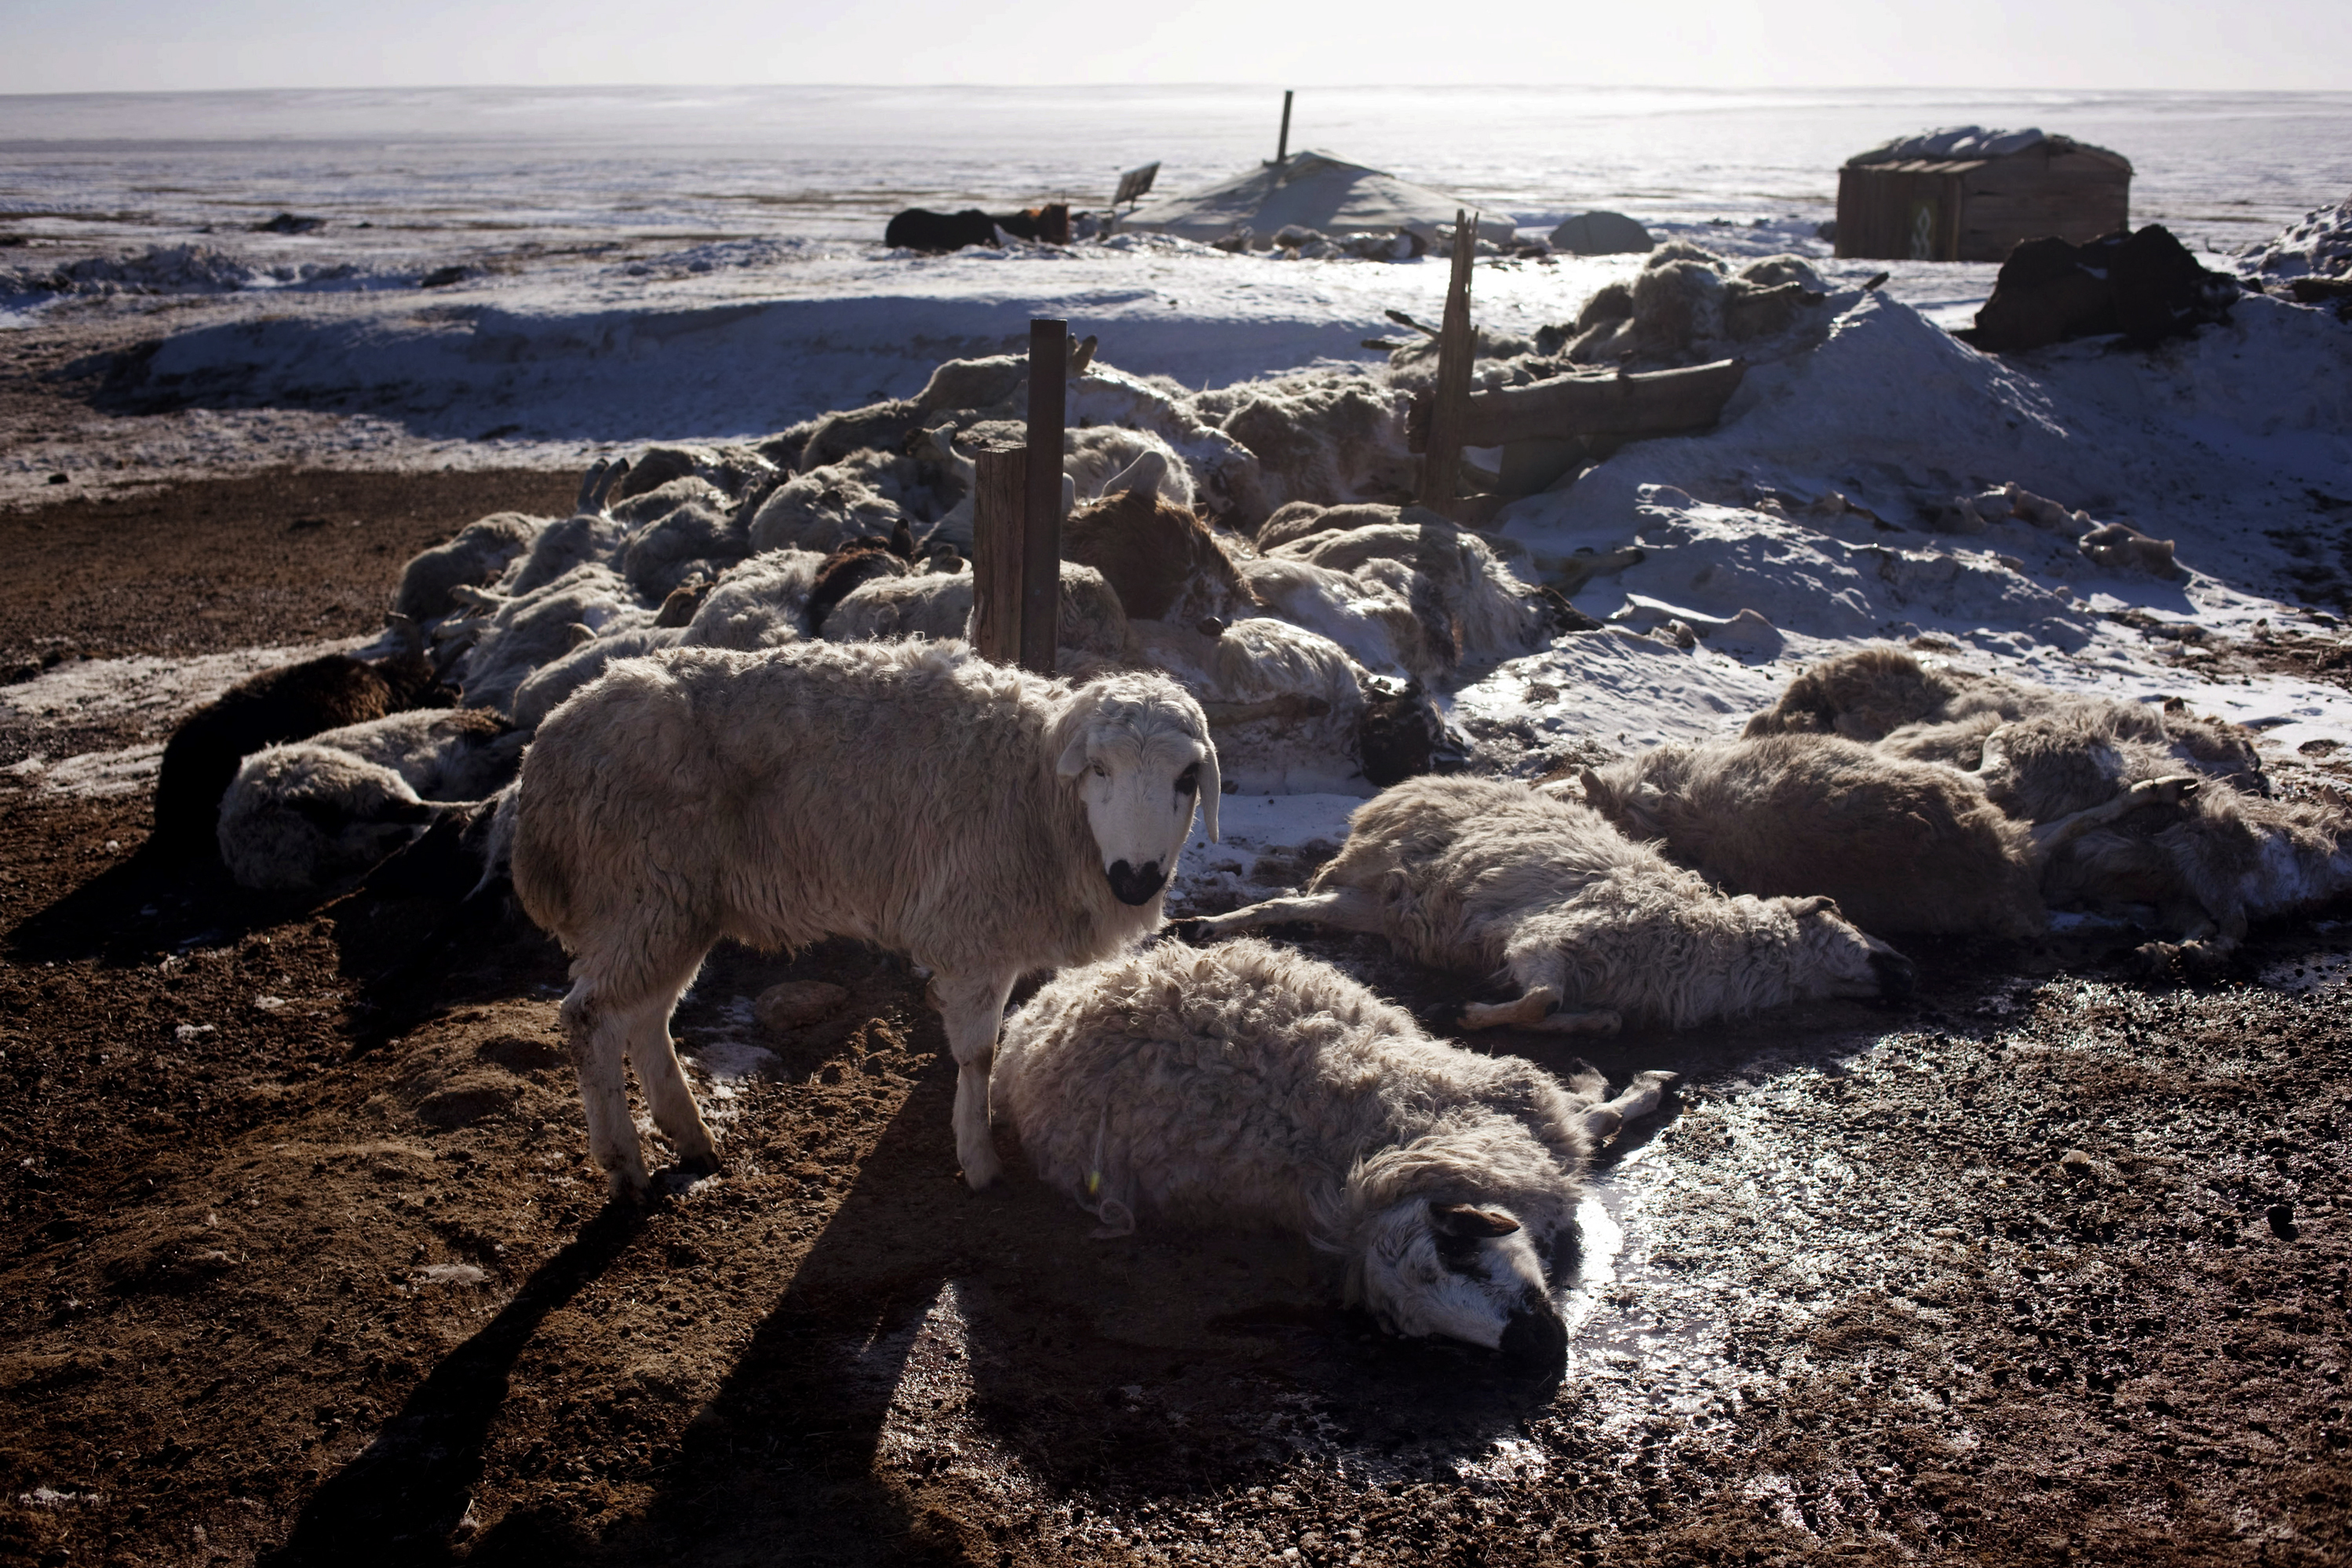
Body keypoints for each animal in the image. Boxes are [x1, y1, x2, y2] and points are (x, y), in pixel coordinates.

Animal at [509, 640, 1220, 1195]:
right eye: (1099, 768)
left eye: (1188, 777)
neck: (1037, 793)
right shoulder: (972, 931)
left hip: (673, 904)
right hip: (641, 890)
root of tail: (548, 744)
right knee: (592, 1018)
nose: (1136, 878)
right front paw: (979, 1159)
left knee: (647, 1018)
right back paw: (622, 1163)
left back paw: (690, 1137)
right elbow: (978, 1055)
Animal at [993, 937, 1675, 1359]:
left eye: (1455, 1251)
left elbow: (1590, 1112)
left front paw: (1625, 1080)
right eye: (1418, 1331)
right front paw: (1632, 1088)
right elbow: (1593, 1119)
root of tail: (1027, 1030)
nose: (1538, 1350)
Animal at [1183, 775, 1913, 1033]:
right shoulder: (1546, 939)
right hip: (1370, 870)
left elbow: (1593, 1016)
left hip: (1368, 905)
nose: (1908, 971)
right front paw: (1470, 1015)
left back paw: (1207, 926)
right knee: (1294, 896)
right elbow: (1542, 998)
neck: (1709, 944)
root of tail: (1402, 789)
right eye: (1856, 927)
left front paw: (1579, 1026)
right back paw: (1204, 924)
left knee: (1285, 905)